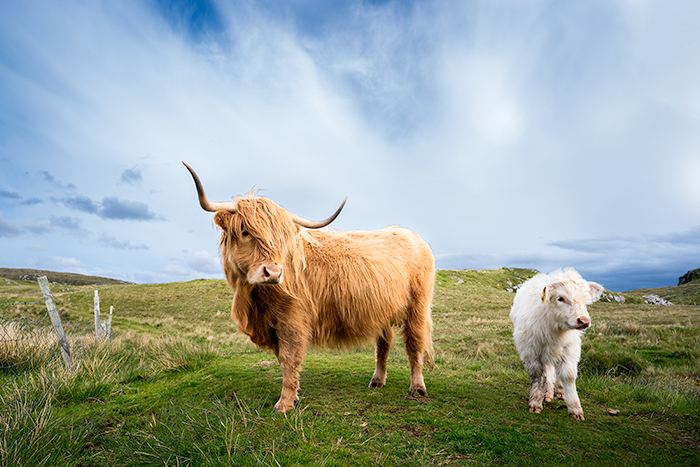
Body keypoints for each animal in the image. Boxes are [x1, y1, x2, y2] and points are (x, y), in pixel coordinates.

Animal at [508, 268, 600, 422]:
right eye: (560, 298)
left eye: (586, 300)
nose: (584, 321)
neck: (555, 328)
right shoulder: (530, 348)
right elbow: (536, 374)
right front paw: (535, 402)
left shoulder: (570, 348)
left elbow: (568, 376)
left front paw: (575, 408)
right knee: (547, 370)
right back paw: (547, 393)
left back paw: (559, 391)